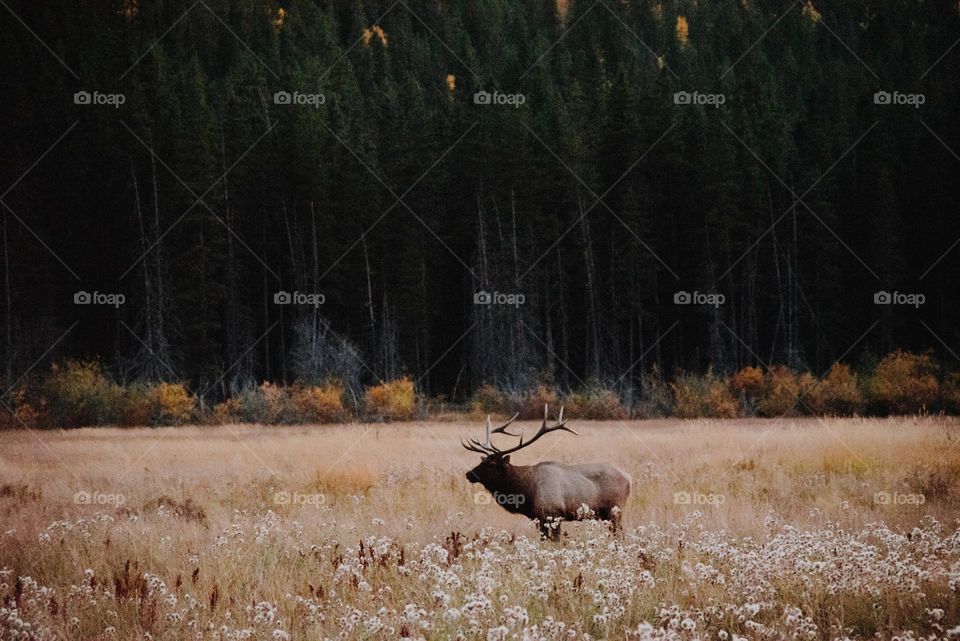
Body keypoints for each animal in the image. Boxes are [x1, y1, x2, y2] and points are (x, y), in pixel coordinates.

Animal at [464, 408, 632, 536]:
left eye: (491, 464)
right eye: (482, 461)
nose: (468, 474)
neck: (527, 492)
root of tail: (628, 478)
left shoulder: (553, 514)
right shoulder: (538, 518)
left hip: (615, 510)